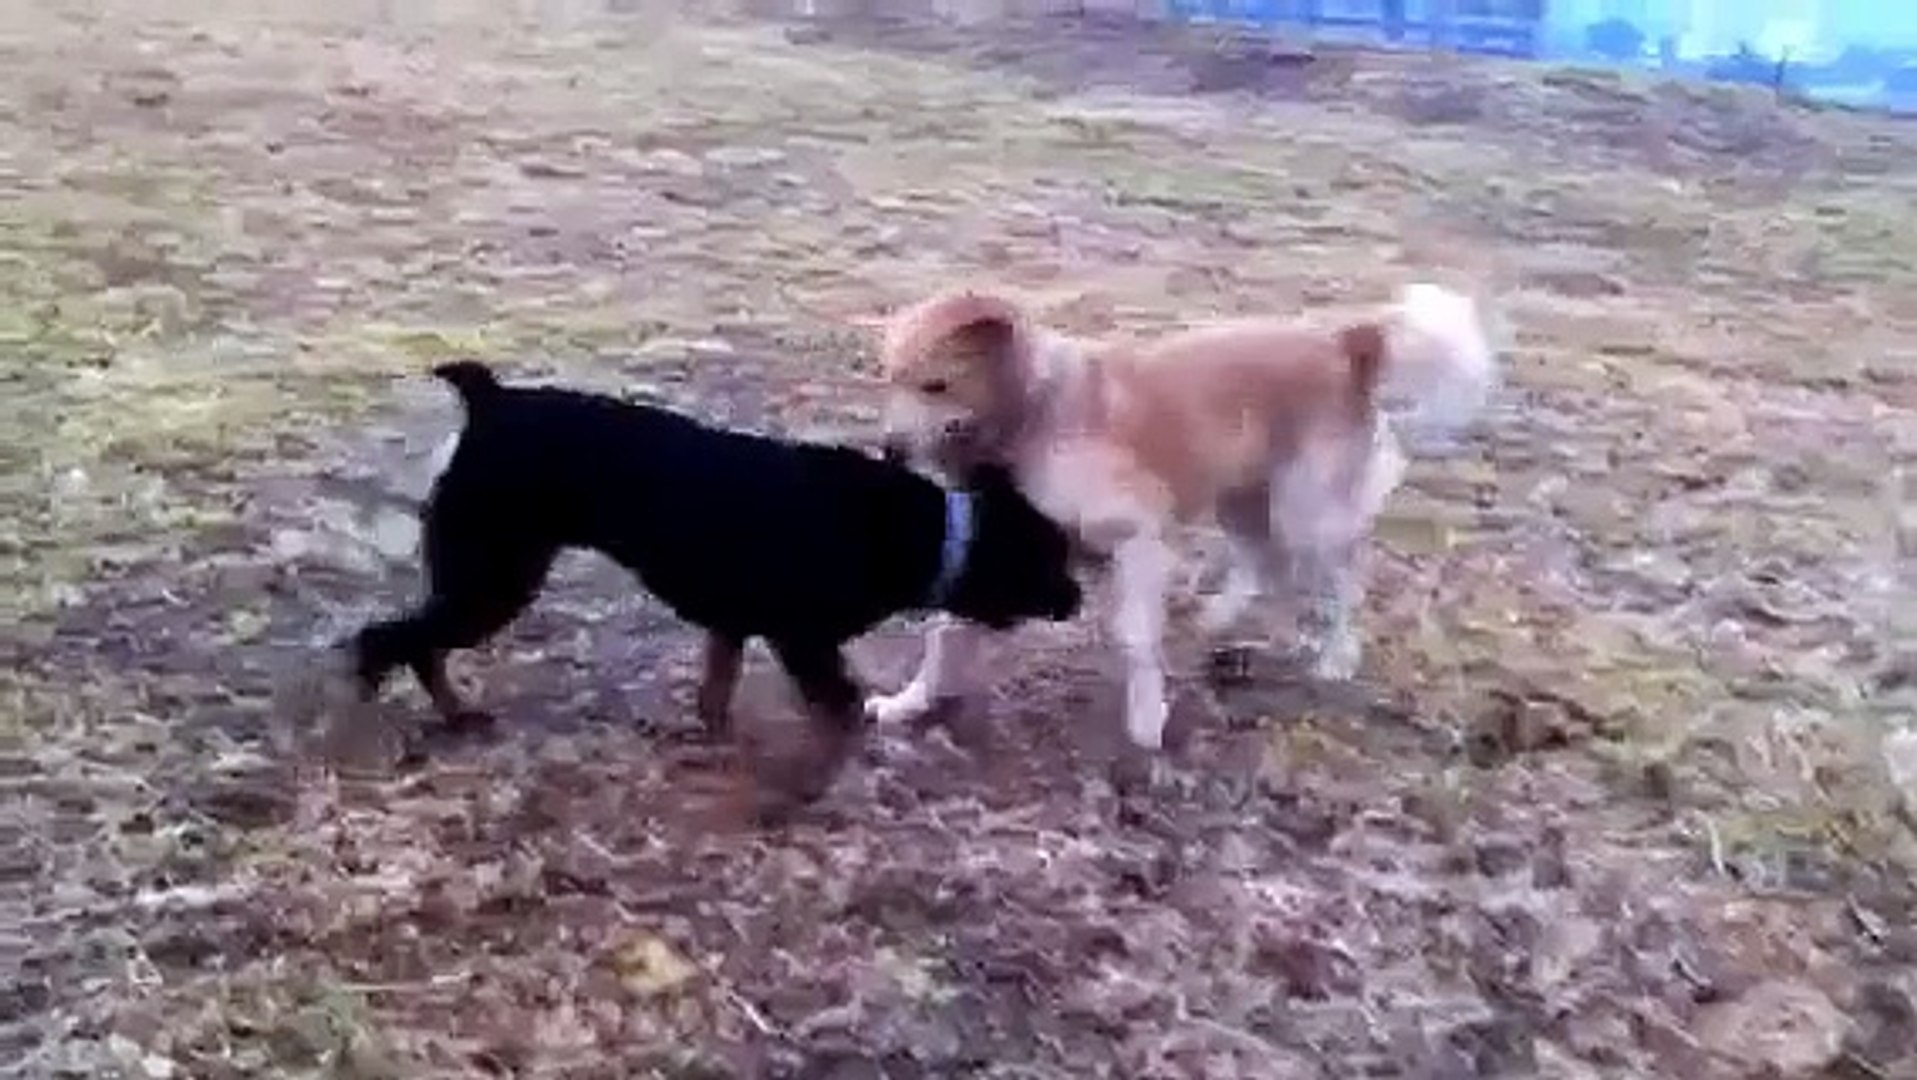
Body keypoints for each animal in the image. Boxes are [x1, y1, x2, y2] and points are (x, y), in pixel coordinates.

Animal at [341, 362, 1081, 813]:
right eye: (1052, 558)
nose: (1076, 599)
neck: (935, 533)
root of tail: (490, 400)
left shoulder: (734, 625)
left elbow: (717, 692)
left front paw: (713, 743)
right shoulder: (804, 643)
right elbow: (840, 716)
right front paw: (807, 787)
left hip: (492, 575)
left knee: (414, 642)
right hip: (494, 577)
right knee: (391, 641)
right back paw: (401, 717)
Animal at [866, 283, 1495, 755]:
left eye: (936, 385)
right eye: (889, 377)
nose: (888, 450)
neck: (1034, 417)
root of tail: (1347, 343)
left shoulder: (1139, 539)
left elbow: (1136, 639)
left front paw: (1147, 721)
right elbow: (943, 637)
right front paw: (907, 704)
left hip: (1305, 514)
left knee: (1342, 581)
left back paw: (1337, 657)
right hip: (1242, 498)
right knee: (1263, 561)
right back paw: (1219, 619)